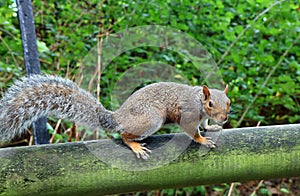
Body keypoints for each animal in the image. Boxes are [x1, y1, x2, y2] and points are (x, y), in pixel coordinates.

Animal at [0, 75, 231, 159]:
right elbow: (193, 132)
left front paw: (211, 127)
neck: (199, 101)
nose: (224, 119)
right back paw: (135, 145)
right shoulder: (189, 115)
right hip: (151, 120)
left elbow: (205, 124)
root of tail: (118, 118)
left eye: (229, 102)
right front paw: (203, 139)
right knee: (124, 136)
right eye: (210, 103)